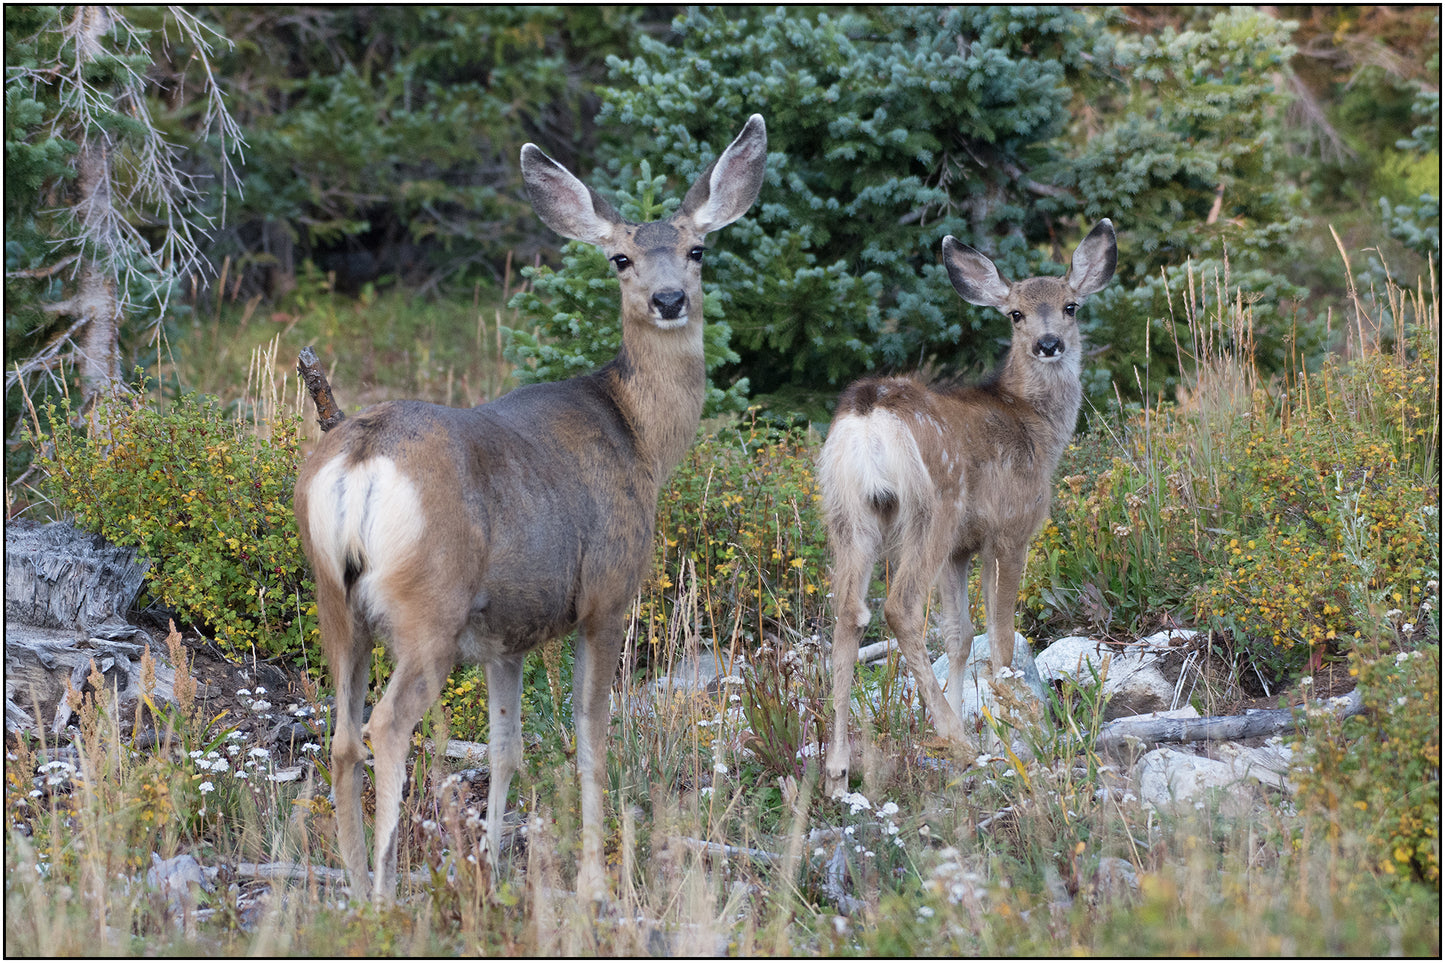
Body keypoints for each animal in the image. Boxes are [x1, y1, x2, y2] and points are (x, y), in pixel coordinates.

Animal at [292, 115, 767, 904]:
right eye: (619, 259)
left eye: (696, 249)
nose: (670, 299)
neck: (640, 435)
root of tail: (361, 454)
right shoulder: (606, 594)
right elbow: (591, 737)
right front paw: (594, 880)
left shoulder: (505, 634)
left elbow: (506, 749)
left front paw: (494, 867)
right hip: (428, 605)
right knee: (386, 726)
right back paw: (387, 891)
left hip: (335, 600)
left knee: (340, 737)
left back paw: (356, 887)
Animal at [817, 220, 1116, 796]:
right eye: (1015, 313)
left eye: (1070, 306)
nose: (1048, 344)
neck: (1034, 426)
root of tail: (868, 419)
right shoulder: (1011, 527)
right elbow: (1000, 633)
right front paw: (1008, 724)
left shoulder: (962, 549)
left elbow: (958, 637)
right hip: (932, 507)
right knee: (899, 607)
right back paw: (958, 743)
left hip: (849, 512)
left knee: (847, 614)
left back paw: (838, 771)